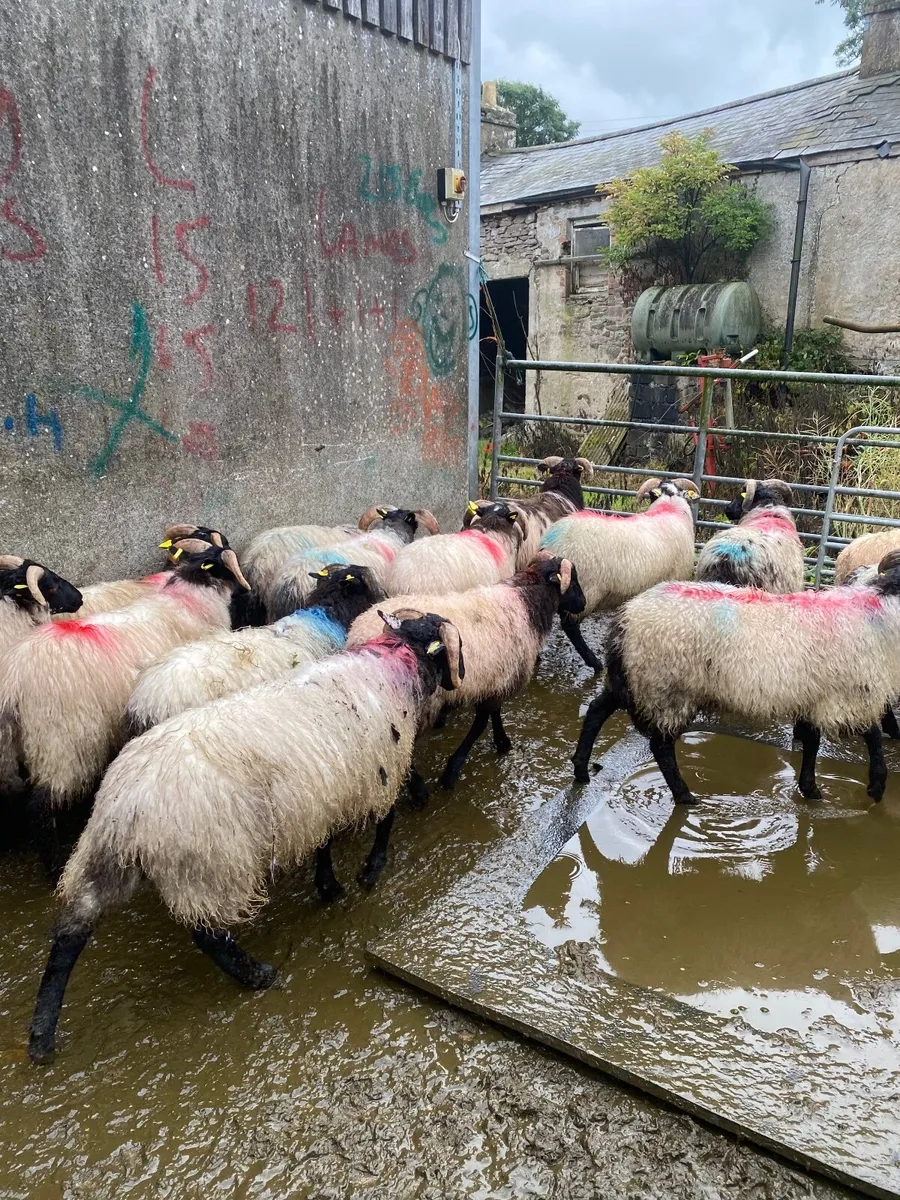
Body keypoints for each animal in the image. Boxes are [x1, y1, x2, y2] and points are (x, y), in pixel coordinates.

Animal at [0, 541, 251, 869]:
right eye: (50, 586)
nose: (79, 598)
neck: (188, 600)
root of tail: (15, 680)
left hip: (9, 750)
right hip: (60, 742)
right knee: (41, 806)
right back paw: (54, 864)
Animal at [27, 608, 465, 1063]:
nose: (456, 684)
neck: (391, 663)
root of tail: (126, 803)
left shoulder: (321, 795)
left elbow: (323, 844)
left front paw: (328, 886)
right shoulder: (381, 773)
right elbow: (385, 822)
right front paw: (371, 871)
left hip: (106, 859)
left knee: (70, 934)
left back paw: (42, 1036)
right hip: (211, 861)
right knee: (207, 934)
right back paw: (256, 975)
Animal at [348, 553, 584, 790]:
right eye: (572, 581)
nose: (583, 604)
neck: (526, 602)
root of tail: (355, 633)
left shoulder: (495, 680)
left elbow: (492, 715)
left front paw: (499, 742)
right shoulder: (498, 682)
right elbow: (481, 723)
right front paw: (454, 770)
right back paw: (419, 790)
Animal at [572, 558, 900, 805]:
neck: (876, 615)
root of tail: (627, 615)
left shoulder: (815, 695)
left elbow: (812, 742)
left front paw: (809, 789)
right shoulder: (849, 694)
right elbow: (872, 735)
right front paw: (876, 786)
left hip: (636, 677)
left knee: (597, 709)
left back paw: (581, 769)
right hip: (667, 686)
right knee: (661, 746)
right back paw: (684, 796)